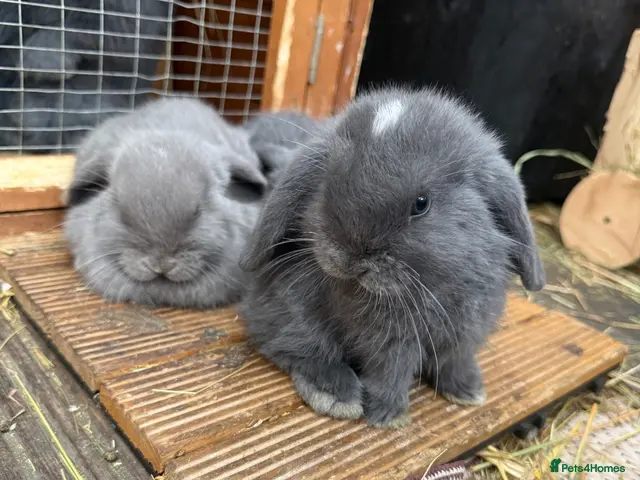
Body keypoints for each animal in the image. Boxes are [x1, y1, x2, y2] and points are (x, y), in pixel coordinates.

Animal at [238, 86, 546, 428]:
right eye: (326, 185)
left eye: (421, 203)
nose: (351, 259)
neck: (430, 286)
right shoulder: (391, 343)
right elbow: (390, 374)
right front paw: (388, 416)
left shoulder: (467, 332)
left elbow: (455, 362)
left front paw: (468, 391)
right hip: (293, 310)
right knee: (293, 347)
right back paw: (338, 397)